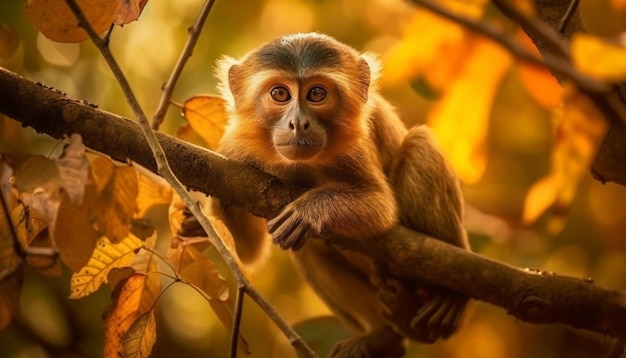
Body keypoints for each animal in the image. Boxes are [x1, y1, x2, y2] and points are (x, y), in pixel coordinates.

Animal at [210, 32, 468, 356]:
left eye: (317, 94)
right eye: (280, 94)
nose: (298, 123)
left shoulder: (353, 146)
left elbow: (381, 208)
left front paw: (311, 210)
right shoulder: (235, 148)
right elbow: (246, 251)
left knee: (419, 144)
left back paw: (450, 296)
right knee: (309, 248)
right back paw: (384, 335)